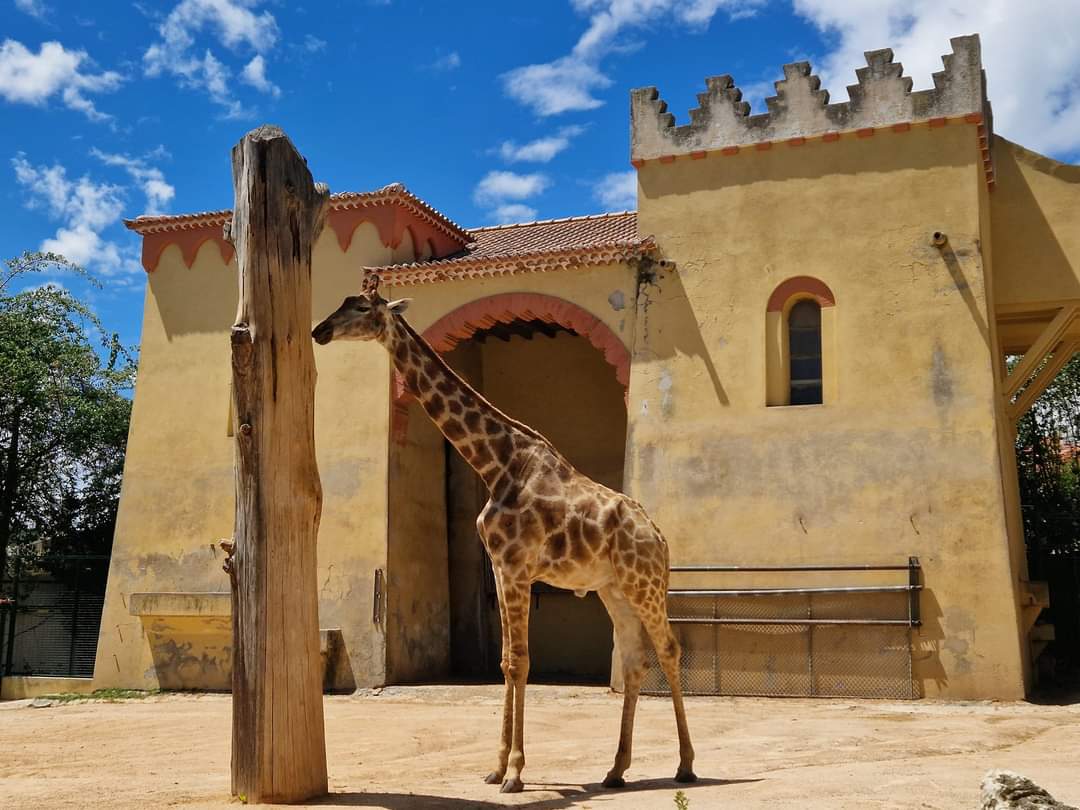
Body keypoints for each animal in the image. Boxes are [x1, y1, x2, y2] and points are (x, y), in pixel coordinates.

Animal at [311, 278, 695, 794]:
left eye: (358, 307)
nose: (319, 330)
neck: (495, 464)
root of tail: (659, 536)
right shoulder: (498, 567)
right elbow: (503, 662)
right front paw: (496, 768)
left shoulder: (517, 568)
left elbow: (520, 661)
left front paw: (514, 771)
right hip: (613, 588)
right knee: (634, 659)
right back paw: (615, 770)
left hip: (645, 584)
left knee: (669, 650)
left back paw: (686, 764)